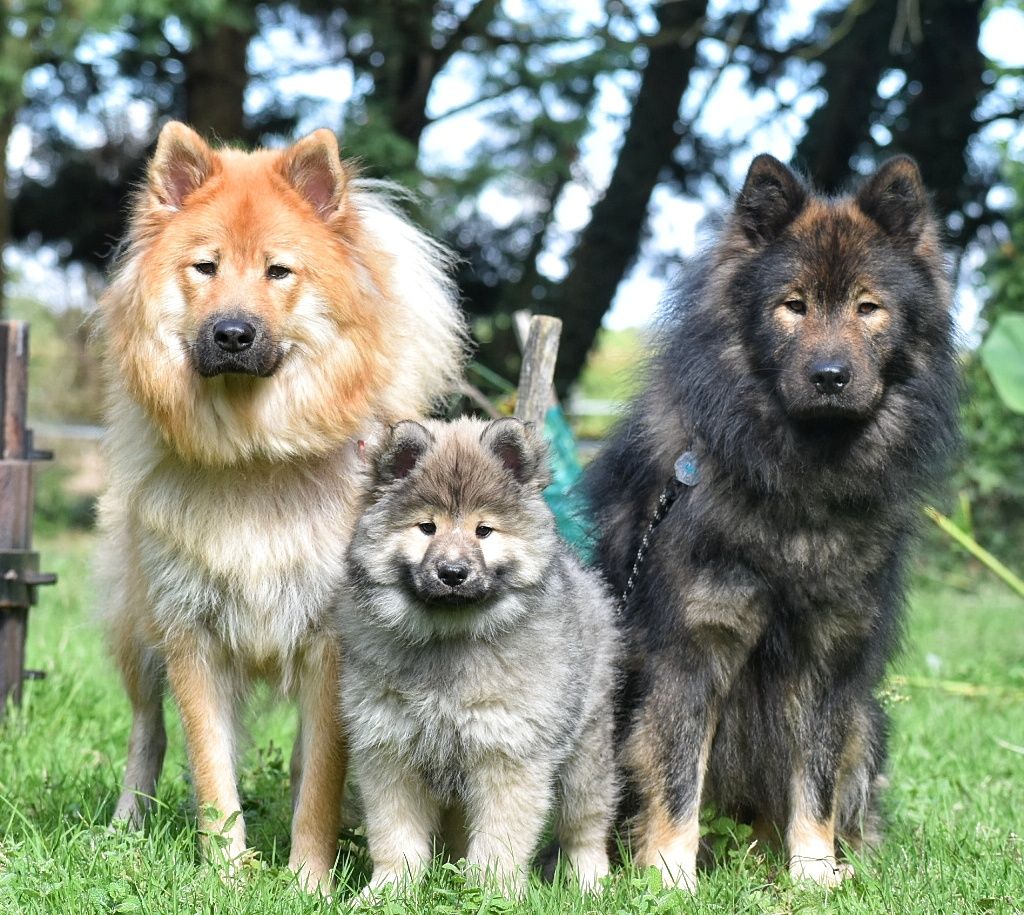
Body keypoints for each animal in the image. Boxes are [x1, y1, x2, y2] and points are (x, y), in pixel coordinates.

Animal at [98, 121, 466, 892]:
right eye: (205, 268)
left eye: (278, 272)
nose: (233, 334)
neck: (255, 457)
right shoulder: (192, 636)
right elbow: (211, 769)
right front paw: (228, 874)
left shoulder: (332, 644)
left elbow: (319, 775)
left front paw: (308, 878)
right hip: (137, 626)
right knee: (148, 729)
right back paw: (124, 828)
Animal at [339, 417, 619, 894]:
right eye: (427, 527)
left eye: (483, 530)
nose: (452, 573)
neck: (450, 636)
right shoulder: (389, 749)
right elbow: (395, 835)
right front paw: (390, 890)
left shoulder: (509, 752)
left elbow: (500, 839)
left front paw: (492, 892)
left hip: (585, 758)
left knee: (585, 829)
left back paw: (591, 885)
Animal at [585, 154, 959, 890]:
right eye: (794, 305)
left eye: (868, 307)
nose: (830, 375)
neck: (798, 480)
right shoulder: (692, 649)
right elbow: (676, 775)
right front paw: (670, 877)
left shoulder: (831, 660)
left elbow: (814, 782)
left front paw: (812, 874)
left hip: (869, 719)